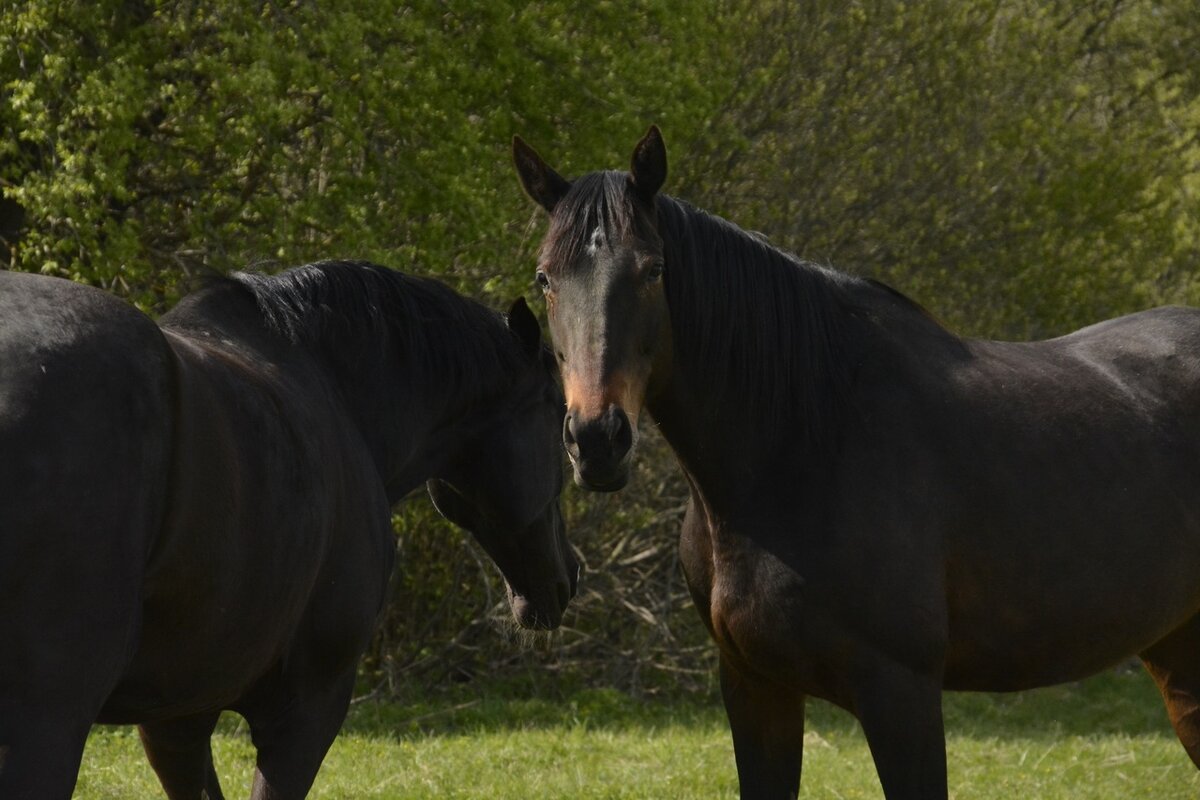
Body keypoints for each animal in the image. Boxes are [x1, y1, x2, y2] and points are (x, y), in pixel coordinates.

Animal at [518, 128, 1200, 796]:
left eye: (653, 269)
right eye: (545, 278)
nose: (597, 439)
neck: (805, 446)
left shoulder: (902, 698)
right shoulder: (755, 689)